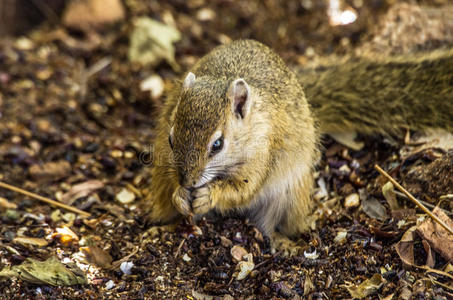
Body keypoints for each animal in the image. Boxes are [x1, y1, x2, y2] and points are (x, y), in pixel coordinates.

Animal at [145, 38, 452, 252]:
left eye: (218, 144)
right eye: (171, 139)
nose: (187, 180)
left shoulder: (262, 153)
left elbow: (243, 190)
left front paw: (209, 195)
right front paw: (180, 194)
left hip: (289, 194)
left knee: (268, 224)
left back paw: (280, 241)